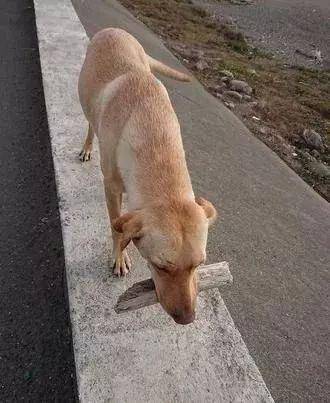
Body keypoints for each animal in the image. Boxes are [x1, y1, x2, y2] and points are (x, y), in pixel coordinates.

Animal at [77, 28, 217, 326]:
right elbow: (116, 228)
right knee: (91, 126)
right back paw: (87, 147)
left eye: (199, 264)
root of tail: (113, 29)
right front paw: (119, 257)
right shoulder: (112, 187)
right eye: (160, 266)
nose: (187, 318)